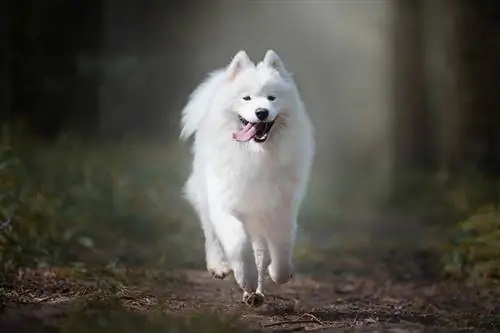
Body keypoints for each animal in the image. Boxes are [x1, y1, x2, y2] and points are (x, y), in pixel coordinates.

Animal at [179, 49, 312, 306]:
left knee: (260, 253)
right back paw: (220, 267)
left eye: (271, 98)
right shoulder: (226, 205)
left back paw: (256, 294)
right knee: (210, 234)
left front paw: (276, 274)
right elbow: (239, 245)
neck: (256, 155)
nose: (262, 112)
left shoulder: (279, 209)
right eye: (247, 98)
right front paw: (245, 278)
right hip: (205, 196)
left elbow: (281, 250)